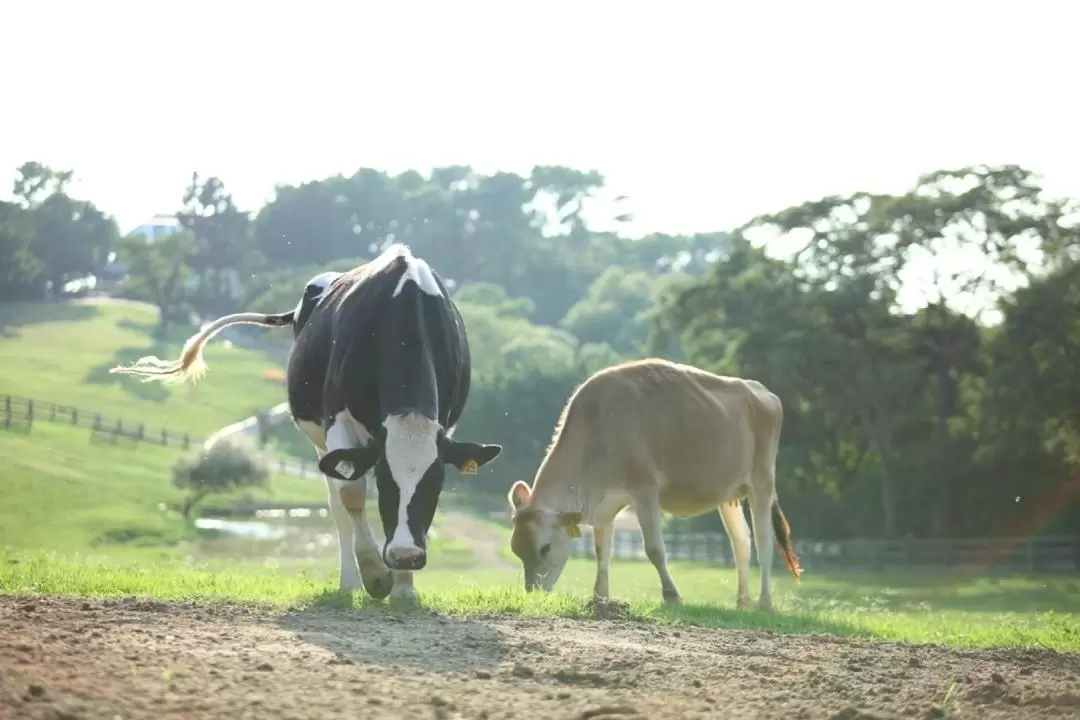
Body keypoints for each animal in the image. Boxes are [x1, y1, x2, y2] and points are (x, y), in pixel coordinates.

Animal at [111, 245, 507, 604]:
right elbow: (353, 495)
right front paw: (375, 574)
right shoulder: (337, 421)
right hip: (322, 443)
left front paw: (404, 587)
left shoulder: (444, 427)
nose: (405, 555)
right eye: (385, 479)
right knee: (338, 503)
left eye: (436, 482)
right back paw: (350, 581)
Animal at [505, 358, 803, 613]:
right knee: (741, 541)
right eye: (516, 550)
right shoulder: (605, 505)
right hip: (729, 494)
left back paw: (764, 603)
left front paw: (672, 596)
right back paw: (742, 602)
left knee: (764, 543)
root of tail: (762, 392)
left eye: (544, 548)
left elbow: (655, 549)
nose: (534, 593)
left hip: (762, 482)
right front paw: (600, 598)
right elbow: (603, 552)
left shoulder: (645, 491)